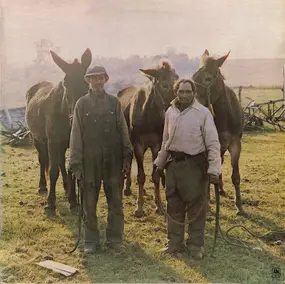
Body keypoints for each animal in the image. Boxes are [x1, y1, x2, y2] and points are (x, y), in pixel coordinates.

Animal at [25, 49, 91, 213]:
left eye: (86, 83)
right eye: (66, 83)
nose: (75, 119)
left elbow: (71, 169)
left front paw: (73, 200)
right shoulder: (53, 142)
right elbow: (53, 170)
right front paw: (50, 202)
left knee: (61, 161)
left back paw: (67, 188)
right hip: (38, 139)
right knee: (43, 160)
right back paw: (43, 186)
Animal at [116, 61, 176, 217]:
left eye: (176, 79)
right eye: (164, 84)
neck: (148, 115)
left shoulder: (156, 145)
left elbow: (156, 175)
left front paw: (159, 205)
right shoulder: (138, 144)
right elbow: (141, 175)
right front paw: (139, 207)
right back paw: (127, 188)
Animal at [192, 49, 247, 217]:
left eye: (208, 78)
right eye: (193, 77)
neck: (225, 116)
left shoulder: (235, 144)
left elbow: (236, 176)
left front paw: (239, 206)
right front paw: (207, 205)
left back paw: (221, 189)